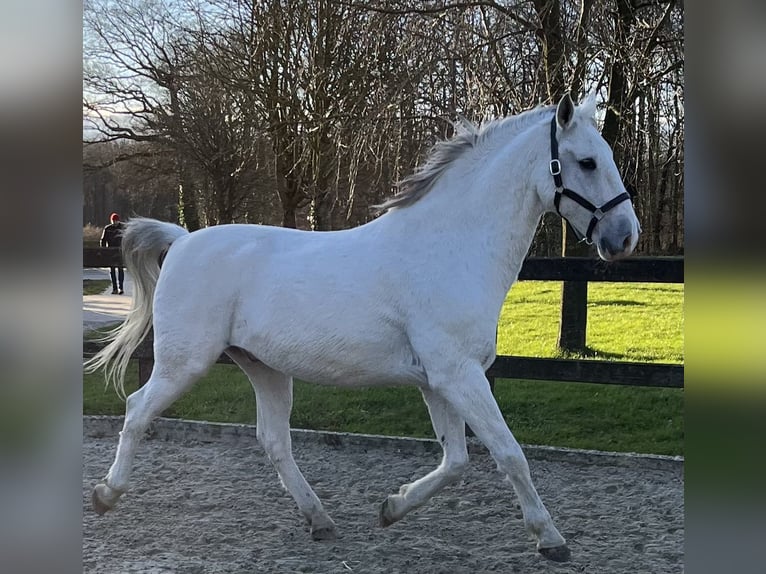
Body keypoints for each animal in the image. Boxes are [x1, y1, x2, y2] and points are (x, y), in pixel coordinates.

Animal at [87, 93, 640, 564]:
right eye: (587, 162)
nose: (624, 238)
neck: (451, 248)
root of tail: (181, 239)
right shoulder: (459, 375)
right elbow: (510, 454)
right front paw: (551, 539)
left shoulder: (441, 381)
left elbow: (457, 460)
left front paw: (391, 508)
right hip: (185, 361)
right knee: (137, 410)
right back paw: (105, 495)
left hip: (265, 368)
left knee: (274, 440)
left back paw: (320, 520)